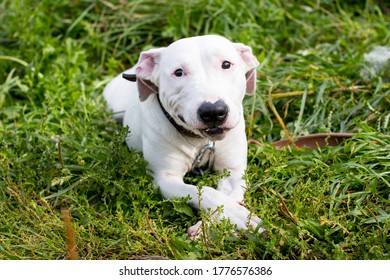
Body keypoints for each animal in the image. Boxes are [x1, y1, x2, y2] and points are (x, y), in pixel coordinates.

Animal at [103, 35, 262, 236]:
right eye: (178, 72)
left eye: (226, 64)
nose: (213, 112)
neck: (201, 141)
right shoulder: (164, 179)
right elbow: (206, 191)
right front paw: (233, 215)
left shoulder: (233, 172)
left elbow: (228, 194)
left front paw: (210, 226)